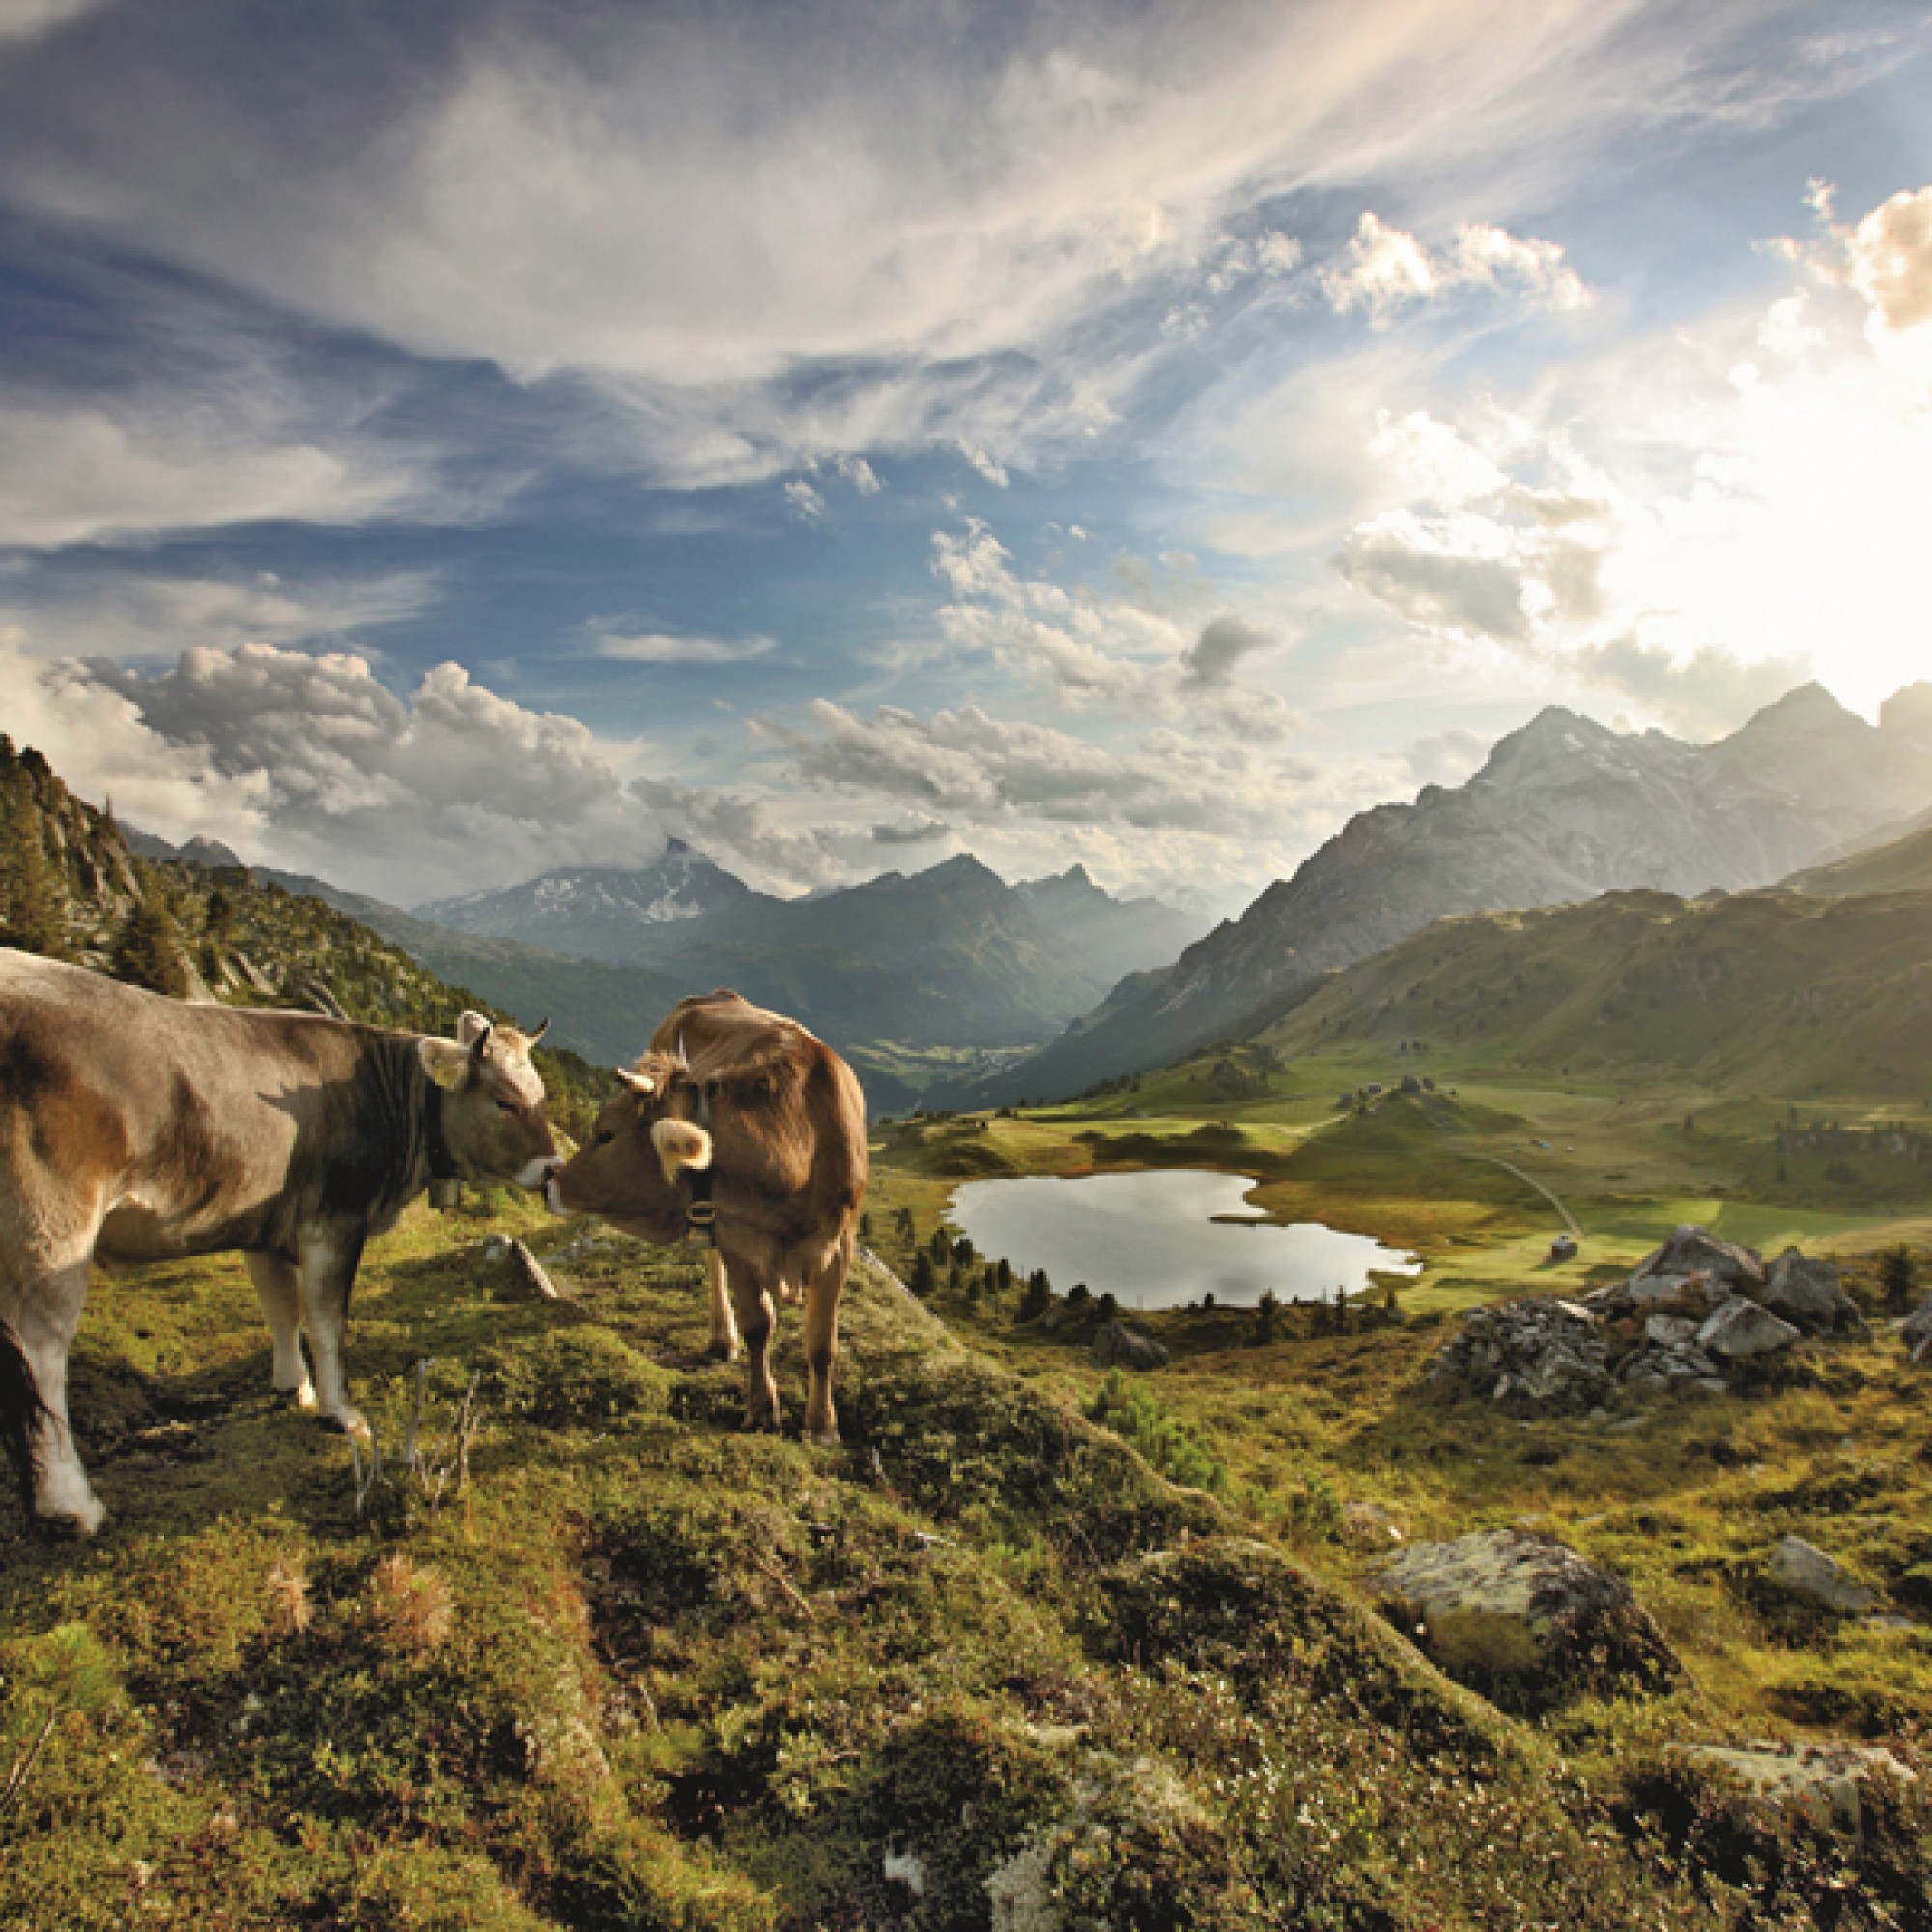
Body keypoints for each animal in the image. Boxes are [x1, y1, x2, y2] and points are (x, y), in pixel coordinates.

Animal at [1, 943, 560, 1530]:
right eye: (503, 1100)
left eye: (541, 1094)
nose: (551, 1169)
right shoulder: (336, 1222)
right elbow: (327, 1320)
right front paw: (341, 1411)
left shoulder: (264, 1226)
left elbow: (281, 1309)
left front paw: (296, 1387)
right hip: (51, 1226)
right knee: (41, 1354)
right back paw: (70, 1502)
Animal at [553, 989, 869, 1445]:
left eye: (607, 1133)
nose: (552, 1180)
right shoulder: (738, 1240)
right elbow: (758, 1326)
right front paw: (762, 1409)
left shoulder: (838, 1246)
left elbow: (822, 1343)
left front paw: (822, 1425)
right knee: (713, 1264)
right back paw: (723, 1336)